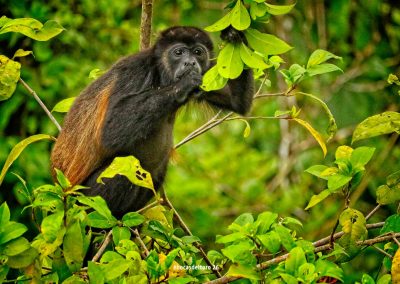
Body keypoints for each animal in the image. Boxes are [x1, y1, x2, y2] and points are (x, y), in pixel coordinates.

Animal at [50, 27, 253, 217]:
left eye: (198, 52)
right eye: (178, 52)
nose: (190, 63)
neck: (162, 76)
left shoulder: (206, 77)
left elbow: (238, 100)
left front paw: (235, 36)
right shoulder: (135, 71)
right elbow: (110, 130)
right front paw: (185, 84)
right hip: (84, 198)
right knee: (123, 168)